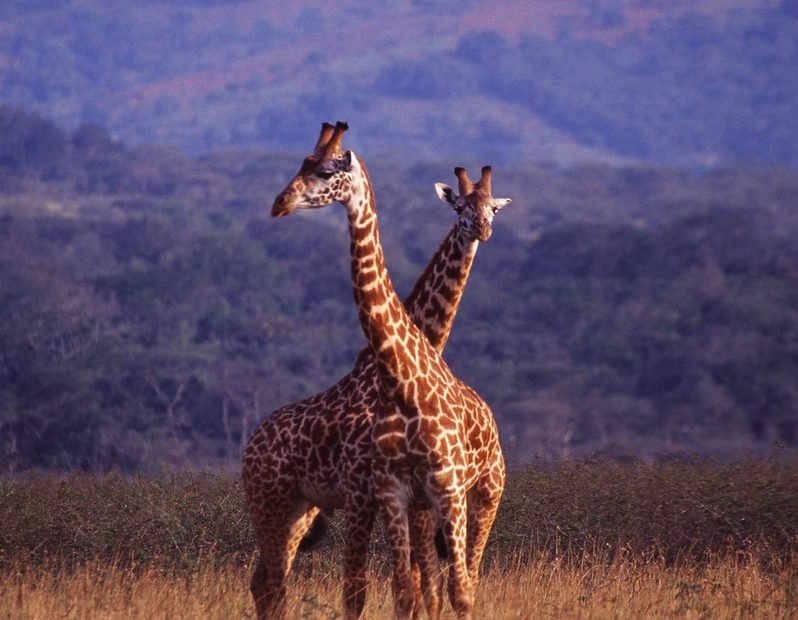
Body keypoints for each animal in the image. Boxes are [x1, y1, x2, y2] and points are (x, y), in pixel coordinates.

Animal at [242, 123, 510, 619]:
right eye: (459, 209)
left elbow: (428, 590)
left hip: (481, 493)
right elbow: (376, 591)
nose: (279, 203)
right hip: (274, 503)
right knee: (270, 583)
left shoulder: (414, 497)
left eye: (326, 170)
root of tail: (251, 442)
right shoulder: (373, 495)